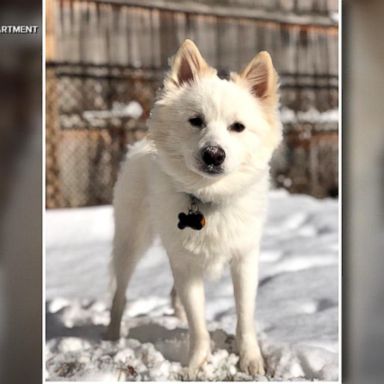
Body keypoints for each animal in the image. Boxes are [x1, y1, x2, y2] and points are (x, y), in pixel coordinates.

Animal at [106, 39, 280, 378]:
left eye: (238, 127)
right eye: (196, 121)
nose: (213, 154)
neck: (207, 198)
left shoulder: (244, 260)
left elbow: (245, 316)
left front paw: (251, 360)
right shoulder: (185, 265)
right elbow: (199, 326)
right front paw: (197, 365)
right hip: (131, 243)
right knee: (120, 292)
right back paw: (111, 335)